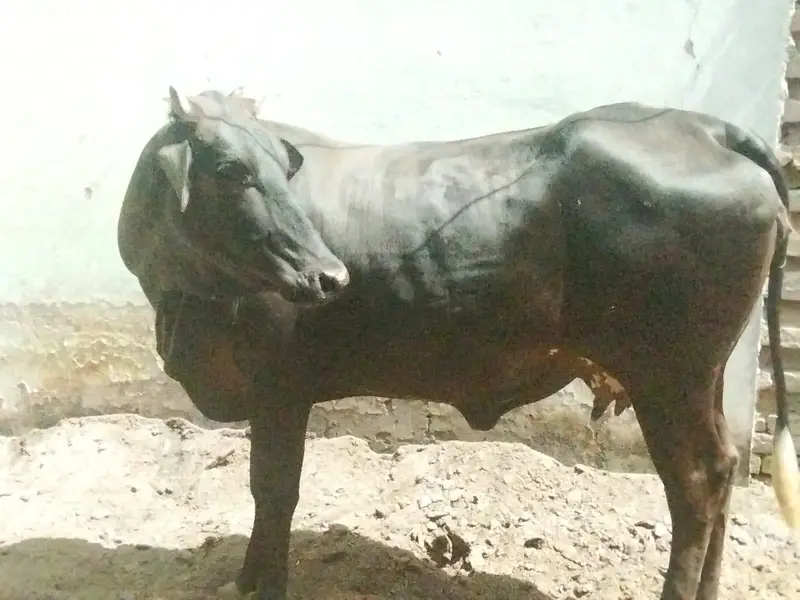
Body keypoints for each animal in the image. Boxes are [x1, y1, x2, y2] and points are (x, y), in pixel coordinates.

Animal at [117, 88, 800, 600]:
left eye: (282, 168)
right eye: (230, 170)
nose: (330, 277)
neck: (181, 294)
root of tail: (703, 127)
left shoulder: (280, 388)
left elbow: (276, 491)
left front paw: (265, 583)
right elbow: (266, 492)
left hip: (667, 377)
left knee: (696, 483)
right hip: (703, 377)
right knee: (725, 468)